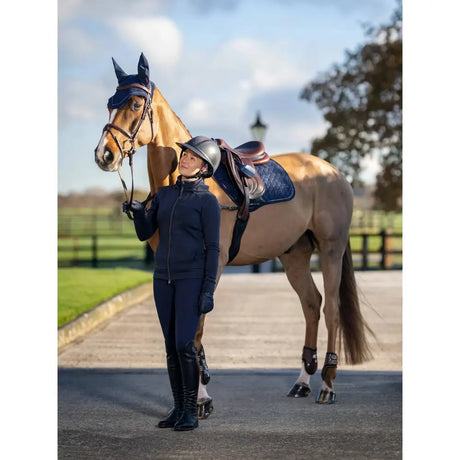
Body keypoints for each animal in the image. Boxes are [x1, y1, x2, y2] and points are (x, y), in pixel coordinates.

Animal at [94, 54, 374, 414]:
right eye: (109, 103)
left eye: (135, 103)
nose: (104, 154)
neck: (186, 186)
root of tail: (333, 173)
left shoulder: (209, 266)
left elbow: (196, 327)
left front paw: (201, 400)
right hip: (295, 254)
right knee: (312, 304)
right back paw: (301, 382)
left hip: (330, 249)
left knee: (332, 309)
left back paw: (327, 384)